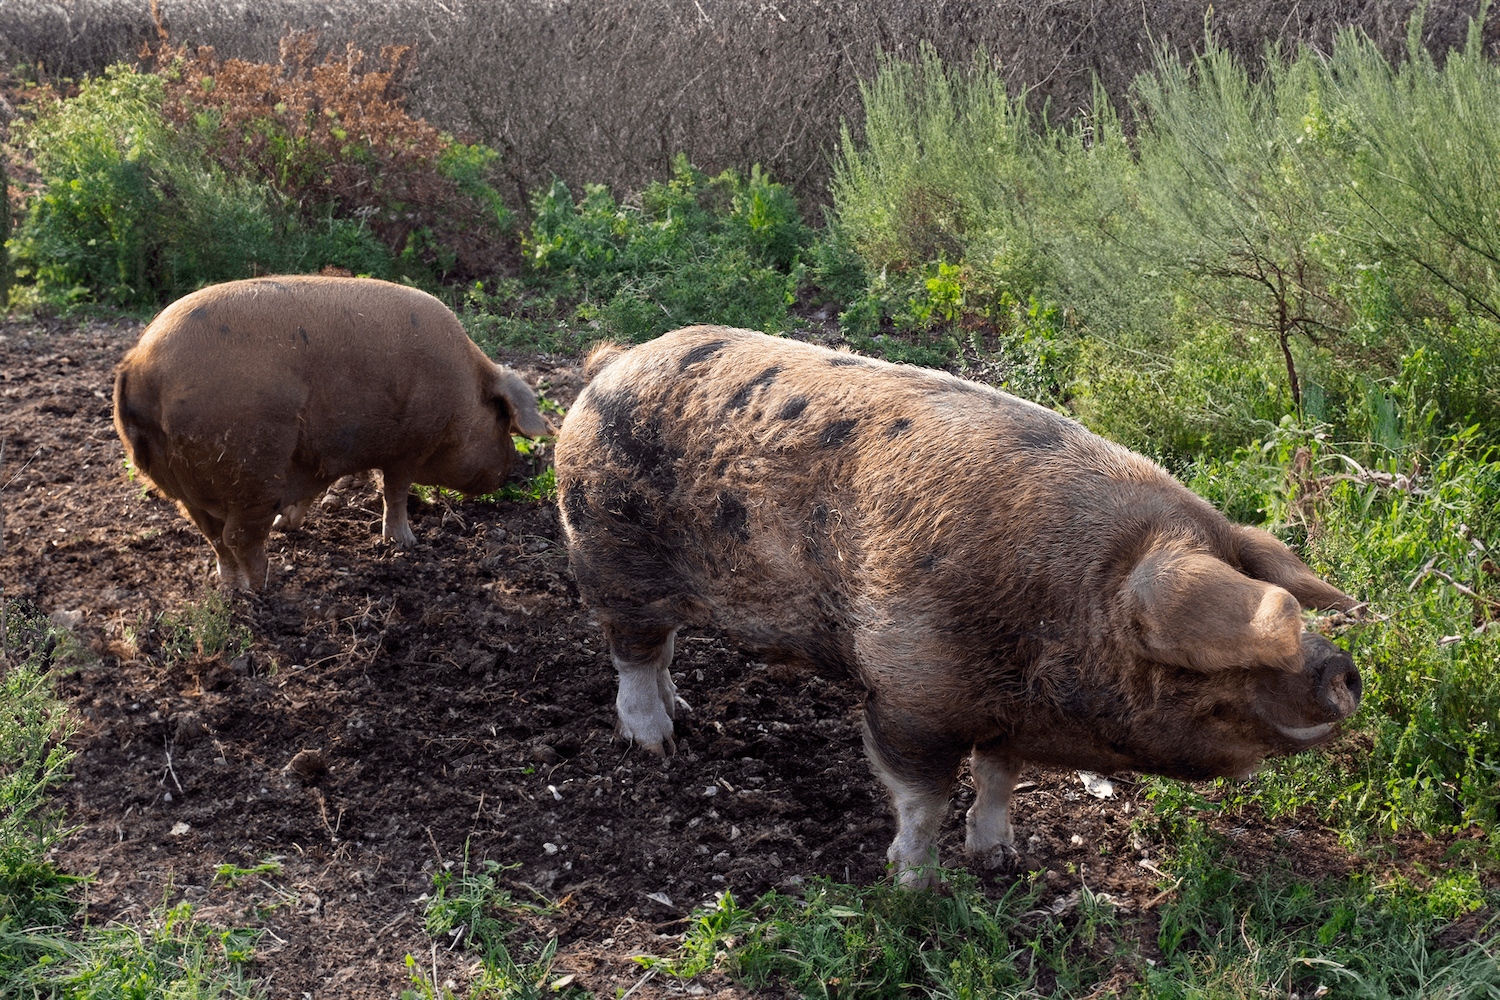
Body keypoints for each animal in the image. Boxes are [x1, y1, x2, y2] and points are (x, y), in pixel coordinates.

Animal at [114, 274, 552, 590]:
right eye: (502, 422)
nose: (510, 471)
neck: (463, 394)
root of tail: (138, 365)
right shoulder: (408, 446)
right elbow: (395, 492)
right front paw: (405, 544)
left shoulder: (317, 458)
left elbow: (311, 494)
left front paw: (288, 524)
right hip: (251, 466)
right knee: (239, 537)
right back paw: (265, 588)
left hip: (180, 486)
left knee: (214, 537)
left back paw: (231, 589)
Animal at [558, 325, 1368, 887]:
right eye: (1207, 659)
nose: (1342, 668)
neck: (1060, 608)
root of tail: (607, 367)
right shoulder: (909, 693)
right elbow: (923, 797)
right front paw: (915, 885)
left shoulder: (1005, 714)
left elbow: (998, 780)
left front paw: (1000, 860)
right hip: (607, 558)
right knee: (633, 654)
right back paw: (657, 744)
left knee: (662, 651)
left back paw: (685, 716)